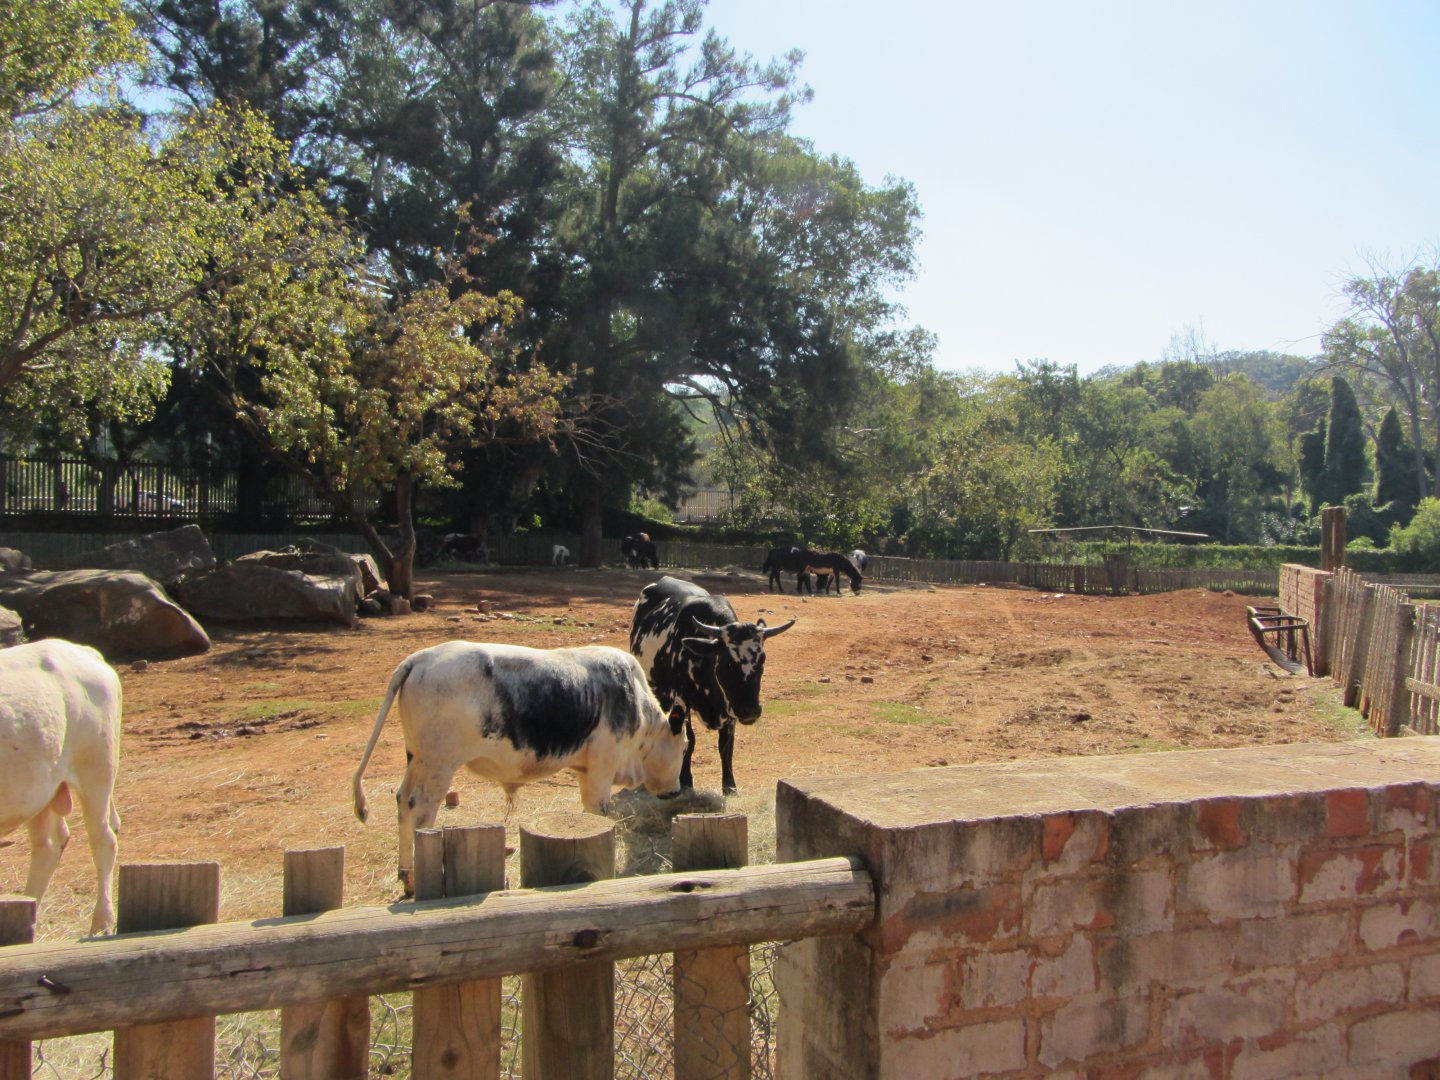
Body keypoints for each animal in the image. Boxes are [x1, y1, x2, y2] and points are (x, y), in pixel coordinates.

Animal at [0, 639, 123, 935]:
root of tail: (82, 650)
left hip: (97, 769)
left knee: (103, 840)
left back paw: (102, 924)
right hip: (39, 791)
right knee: (47, 847)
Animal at [352, 641, 685, 892]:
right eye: (683, 748)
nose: (676, 790)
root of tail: (418, 659)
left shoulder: (587, 771)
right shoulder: (603, 769)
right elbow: (599, 815)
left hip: (417, 761)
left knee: (402, 802)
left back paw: (406, 878)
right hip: (438, 765)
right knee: (419, 811)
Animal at [630, 576, 794, 794]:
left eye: (762, 660)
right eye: (726, 661)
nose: (750, 711)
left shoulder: (730, 707)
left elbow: (726, 746)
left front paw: (730, 785)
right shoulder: (682, 700)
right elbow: (689, 740)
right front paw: (685, 780)